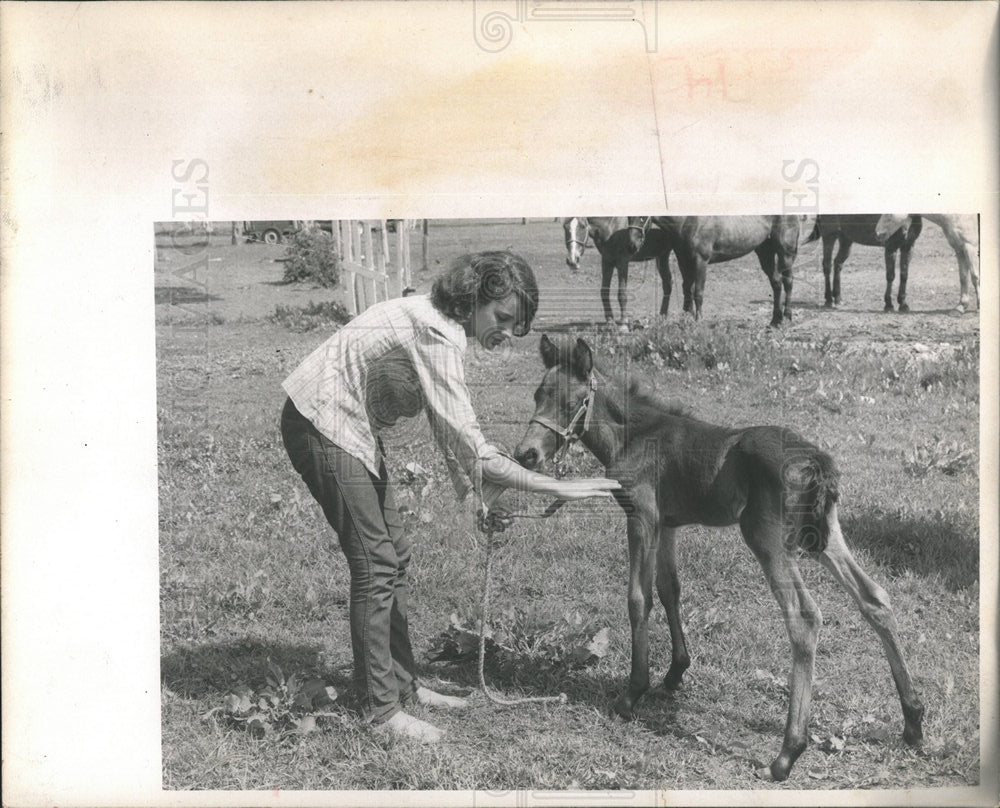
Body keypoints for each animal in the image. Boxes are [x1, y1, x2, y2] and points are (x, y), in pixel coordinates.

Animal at [512, 332, 924, 776]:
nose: (526, 454)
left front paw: (632, 693)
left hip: (765, 537)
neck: (634, 436)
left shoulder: (642, 516)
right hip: (824, 534)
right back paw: (913, 721)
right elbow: (669, 589)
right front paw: (675, 673)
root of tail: (816, 460)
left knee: (804, 617)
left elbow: (639, 599)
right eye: (536, 395)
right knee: (874, 598)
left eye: (571, 402)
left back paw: (787, 753)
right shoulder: (668, 524)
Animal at [624, 218, 796, 328]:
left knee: (788, 282)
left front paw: (698, 320)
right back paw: (775, 320)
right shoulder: (683, 260)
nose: (632, 245)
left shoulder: (701, 261)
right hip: (765, 252)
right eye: (629, 217)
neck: (687, 221)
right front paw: (686, 318)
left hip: (785, 253)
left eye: (642, 217)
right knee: (776, 283)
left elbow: (698, 292)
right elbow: (687, 289)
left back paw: (787, 316)